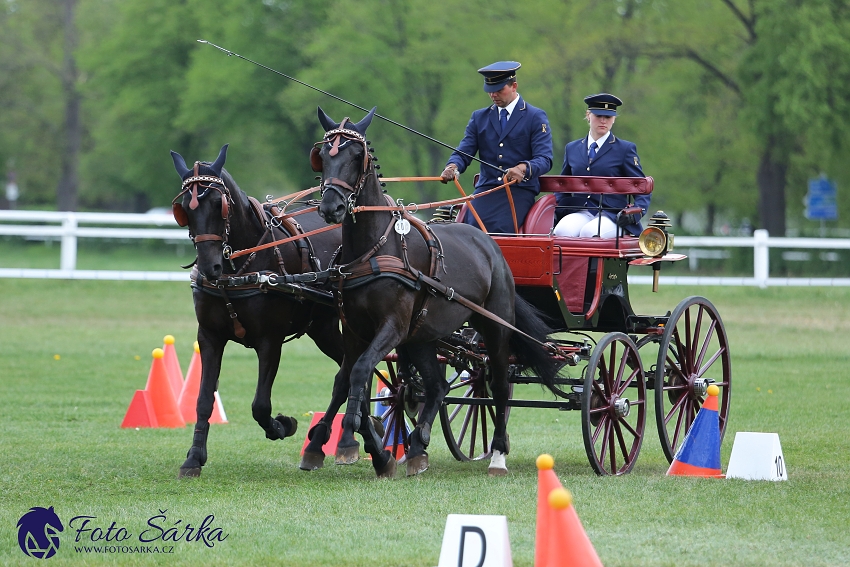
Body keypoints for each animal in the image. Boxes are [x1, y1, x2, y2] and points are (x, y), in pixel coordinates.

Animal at [171, 144, 350, 478]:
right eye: (184, 209)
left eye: (218, 204)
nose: (210, 267)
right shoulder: (210, 337)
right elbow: (203, 399)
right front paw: (194, 457)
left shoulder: (270, 340)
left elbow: (260, 405)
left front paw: (283, 425)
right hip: (323, 328)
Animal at [314, 108, 560, 478]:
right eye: (323, 156)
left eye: (357, 156)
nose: (332, 207)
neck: (374, 249)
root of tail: (491, 244)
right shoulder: (355, 329)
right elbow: (345, 379)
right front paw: (324, 443)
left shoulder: (392, 327)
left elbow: (360, 372)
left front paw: (365, 440)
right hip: (423, 336)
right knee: (437, 386)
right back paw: (417, 446)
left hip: (494, 327)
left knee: (499, 386)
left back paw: (498, 454)